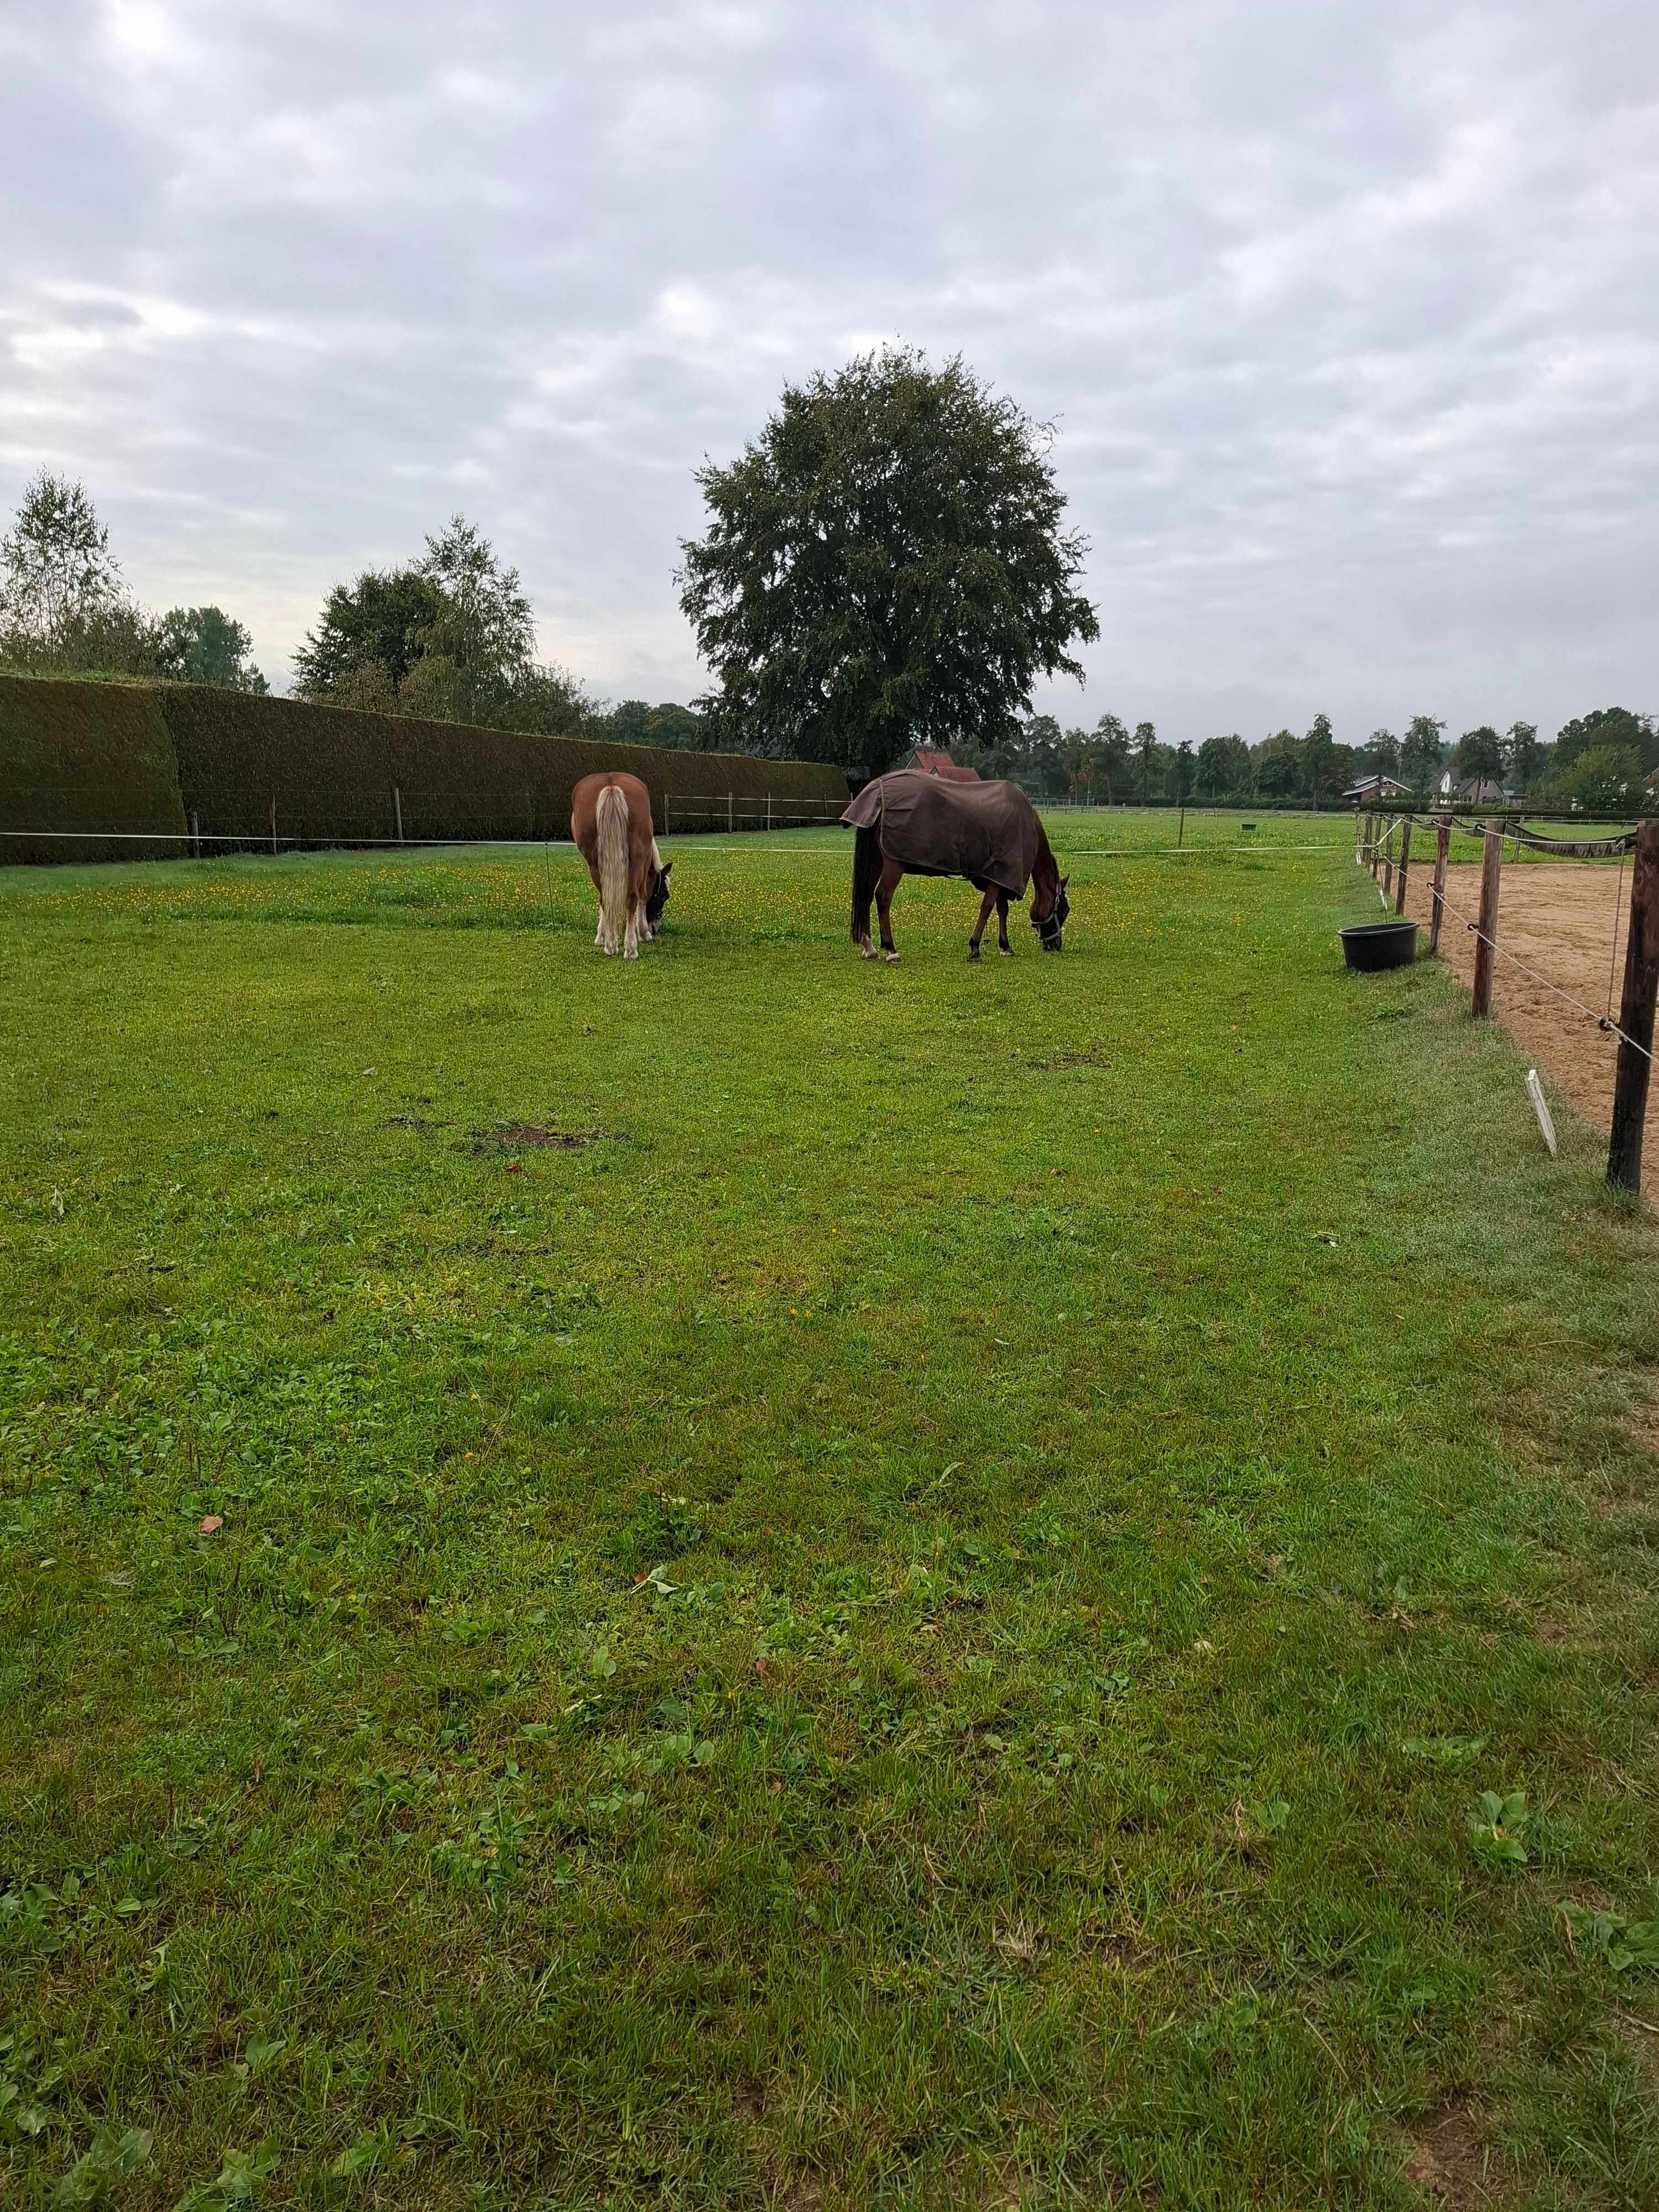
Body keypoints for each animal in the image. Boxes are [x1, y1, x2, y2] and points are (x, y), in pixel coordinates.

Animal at [570, 771, 671, 959]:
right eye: (663, 895)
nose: (655, 928)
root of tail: (611, 787)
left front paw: (601, 936)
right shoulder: (644, 864)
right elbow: (642, 896)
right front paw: (644, 933)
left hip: (594, 862)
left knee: (605, 897)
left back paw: (610, 945)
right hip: (637, 859)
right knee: (632, 896)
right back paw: (631, 948)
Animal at [843, 770, 1069, 963]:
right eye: (1064, 910)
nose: (1056, 946)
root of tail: (878, 790)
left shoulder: (1000, 876)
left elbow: (1002, 910)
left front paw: (1005, 947)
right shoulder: (1000, 875)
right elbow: (987, 908)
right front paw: (975, 948)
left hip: (876, 861)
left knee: (866, 896)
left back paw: (868, 946)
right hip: (894, 864)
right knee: (883, 897)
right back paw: (891, 950)